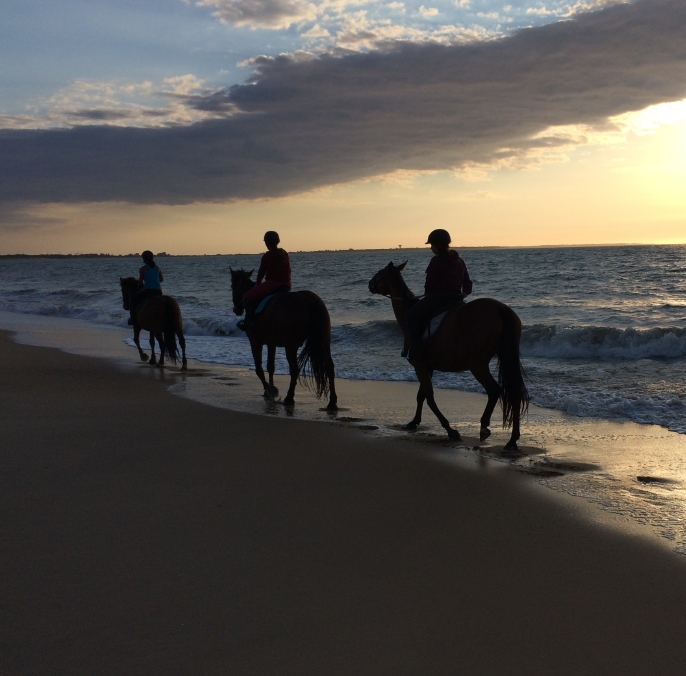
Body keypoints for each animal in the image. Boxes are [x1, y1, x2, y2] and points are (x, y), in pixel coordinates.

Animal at [231, 270, 338, 412]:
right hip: (324, 341)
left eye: (232, 286)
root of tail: (308, 299)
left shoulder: (255, 341)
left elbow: (259, 368)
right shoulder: (271, 343)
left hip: (291, 346)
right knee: (329, 366)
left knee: (295, 369)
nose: (236, 310)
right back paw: (332, 402)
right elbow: (270, 367)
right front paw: (269, 389)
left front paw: (269, 390)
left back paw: (289, 397)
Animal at [370, 262, 532, 452]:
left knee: (494, 390)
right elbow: (421, 396)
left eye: (380, 274)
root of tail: (500, 308)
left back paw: (484, 427)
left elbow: (429, 398)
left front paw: (450, 430)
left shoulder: (420, 366)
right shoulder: (428, 367)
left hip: (477, 364)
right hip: (503, 357)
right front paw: (414, 422)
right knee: (514, 394)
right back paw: (512, 440)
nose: (370, 284)